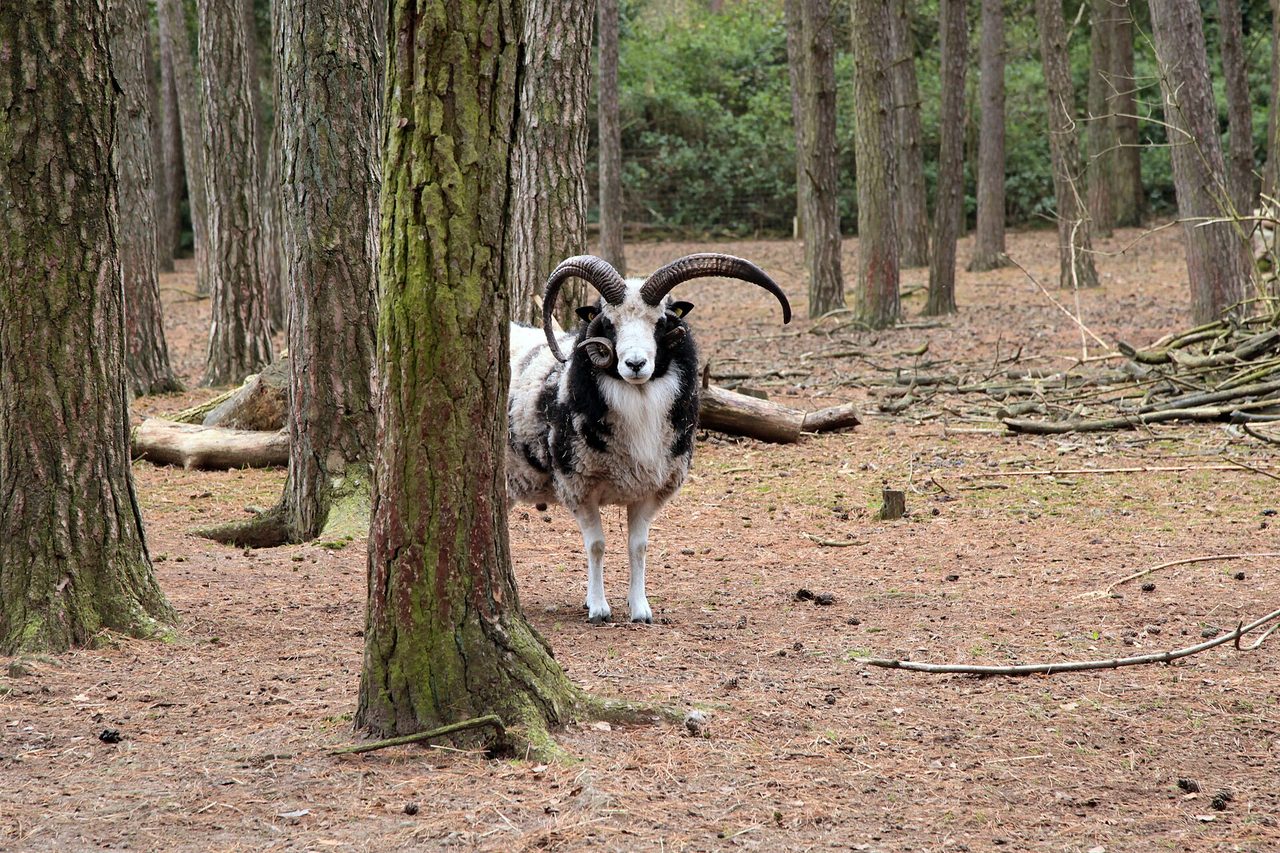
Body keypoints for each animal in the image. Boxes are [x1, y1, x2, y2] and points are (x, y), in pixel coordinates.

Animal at [507, 253, 791, 624]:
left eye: (661, 322)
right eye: (608, 323)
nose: (635, 364)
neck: (639, 405)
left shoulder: (649, 488)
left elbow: (638, 547)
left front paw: (640, 609)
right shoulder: (577, 485)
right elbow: (596, 545)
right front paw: (598, 608)